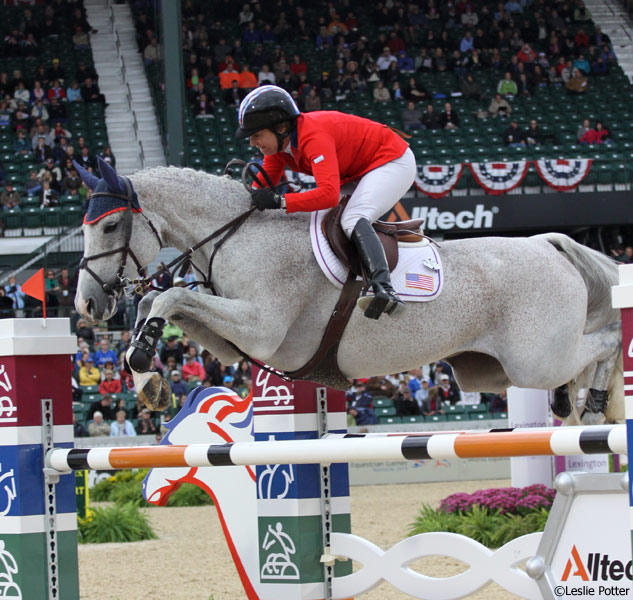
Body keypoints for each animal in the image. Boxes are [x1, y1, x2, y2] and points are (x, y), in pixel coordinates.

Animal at [74, 157, 624, 424]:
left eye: (109, 227)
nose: (86, 305)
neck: (237, 233)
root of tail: (547, 242)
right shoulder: (231, 344)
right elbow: (158, 301)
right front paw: (149, 380)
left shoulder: (261, 329)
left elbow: (168, 297)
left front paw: (142, 361)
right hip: (487, 372)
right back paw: (573, 402)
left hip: (534, 358)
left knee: (608, 341)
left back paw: (598, 401)